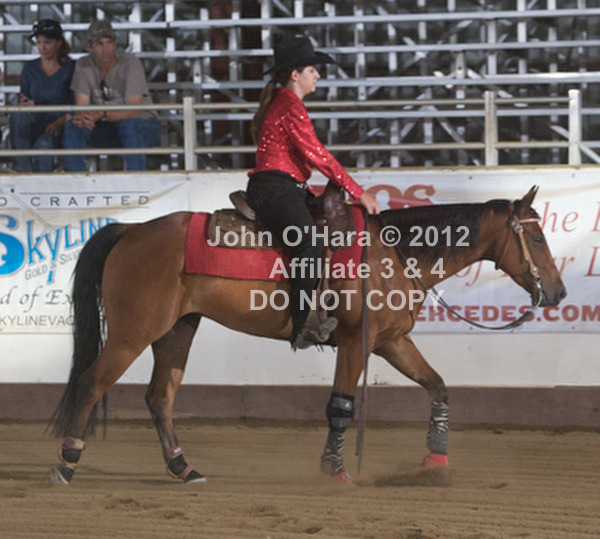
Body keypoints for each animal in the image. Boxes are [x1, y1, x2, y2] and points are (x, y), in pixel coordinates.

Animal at [49, 186, 566, 485]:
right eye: (537, 238)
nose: (558, 292)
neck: (393, 255)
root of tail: (131, 229)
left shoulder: (392, 342)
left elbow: (437, 385)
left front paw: (436, 459)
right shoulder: (356, 343)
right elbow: (341, 405)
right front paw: (334, 469)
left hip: (177, 329)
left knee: (160, 396)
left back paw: (183, 467)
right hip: (133, 331)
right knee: (91, 382)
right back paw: (66, 463)